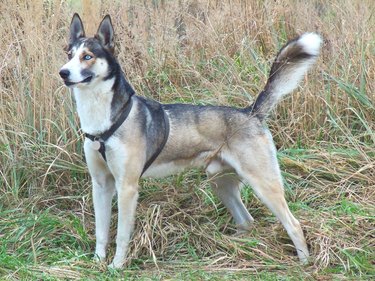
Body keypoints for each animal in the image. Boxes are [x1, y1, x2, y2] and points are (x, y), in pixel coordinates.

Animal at [59, 14, 324, 268]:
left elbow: (122, 235)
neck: (103, 122)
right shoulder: (101, 185)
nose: (63, 72)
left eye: (87, 56)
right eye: (69, 54)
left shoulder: (127, 187)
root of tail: (251, 113)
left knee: (293, 224)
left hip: (263, 183)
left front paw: (116, 266)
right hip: (220, 183)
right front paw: (97, 262)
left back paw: (305, 262)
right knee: (246, 221)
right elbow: (101, 231)